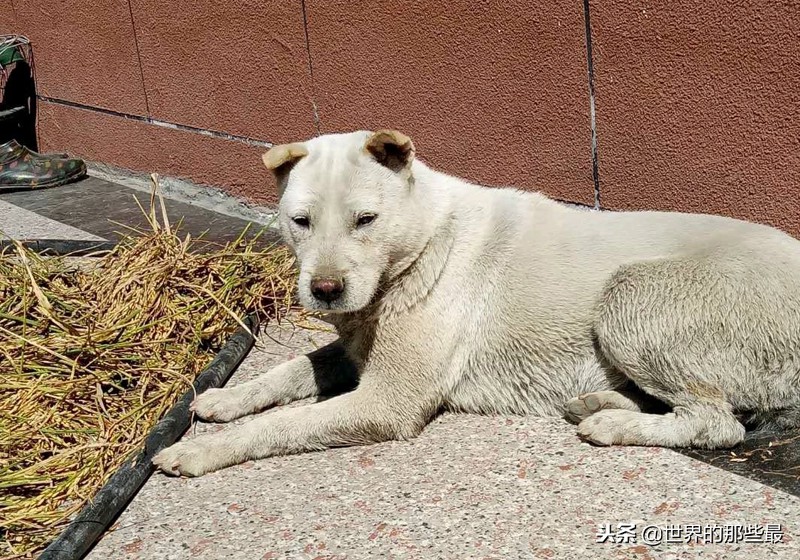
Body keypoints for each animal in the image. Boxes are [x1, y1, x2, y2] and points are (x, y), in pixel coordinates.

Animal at [153, 129, 800, 474]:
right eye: (300, 221)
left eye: (366, 219)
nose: (325, 291)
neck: (419, 245)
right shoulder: (356, 341)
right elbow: (289, 370)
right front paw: (225, 398)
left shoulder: (388, 400)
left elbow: (284, 423)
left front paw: (200, 450)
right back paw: (600, 400)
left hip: (633, 294)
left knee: (717, 423)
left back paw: (616, 424)